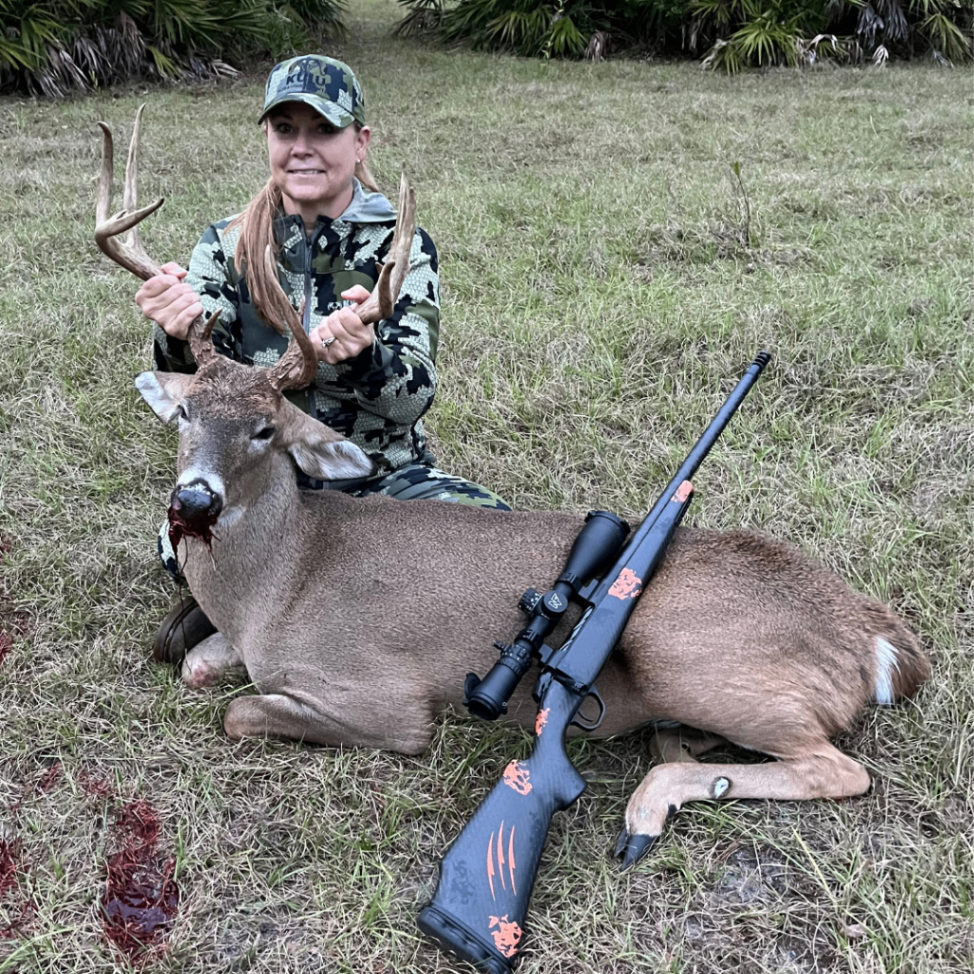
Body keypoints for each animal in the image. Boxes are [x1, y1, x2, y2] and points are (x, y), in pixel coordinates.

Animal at [96, 109, 930, 867]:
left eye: (266, 428)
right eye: (186, 414)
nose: (194, 502)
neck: (278, 583)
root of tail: (877, 640)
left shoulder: (384, 697)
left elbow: (238, 712)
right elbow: (200, 667)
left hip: (677, 646)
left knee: (836, 767)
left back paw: (650, 802)